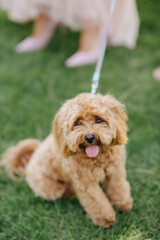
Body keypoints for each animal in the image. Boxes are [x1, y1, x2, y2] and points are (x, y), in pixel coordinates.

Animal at [1, 93, 132, 228]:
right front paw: (105, 219)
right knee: (62, 191)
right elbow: (97, 201)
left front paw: (123, 204)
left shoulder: (115, 172)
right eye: (77, 123)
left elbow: (118, 187)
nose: (90, 137)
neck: (97, 157)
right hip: (49, 188)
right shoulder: (86, 183)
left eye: (99, 120)